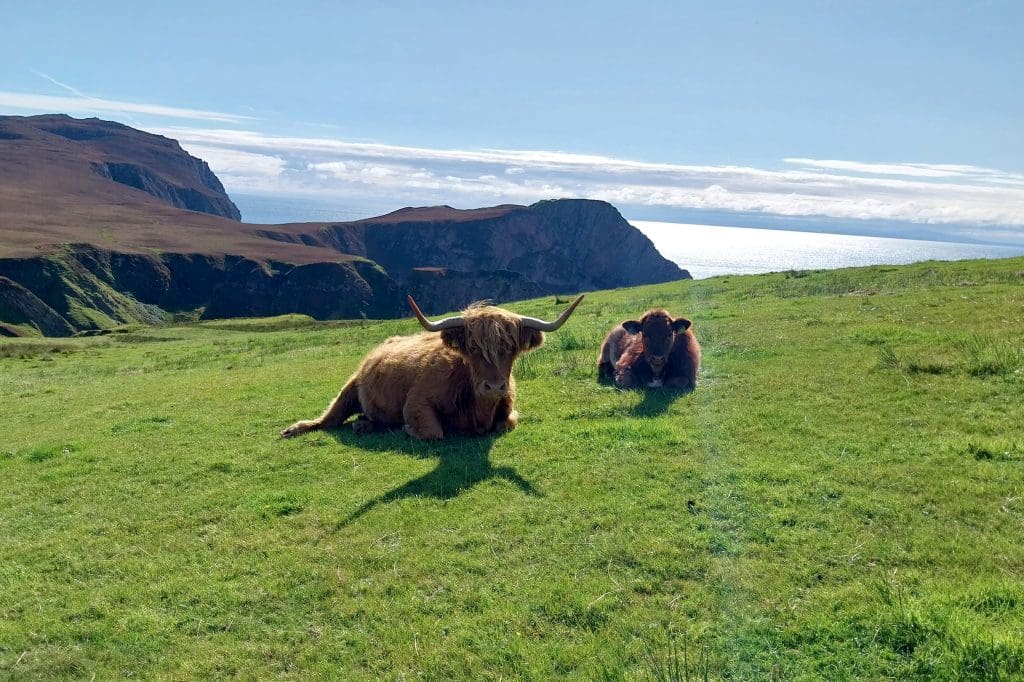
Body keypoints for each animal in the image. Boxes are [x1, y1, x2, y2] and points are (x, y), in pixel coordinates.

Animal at [280, 294, 584, 440]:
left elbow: (506, 423)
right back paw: (295, 429)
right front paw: (406, 429)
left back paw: (364, 425)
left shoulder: (509, 412)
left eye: (511, 348)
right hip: (349, 387)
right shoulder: (416, 403)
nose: (495, 387)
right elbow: (433, 432)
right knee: (329, 419)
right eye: (473, 348)